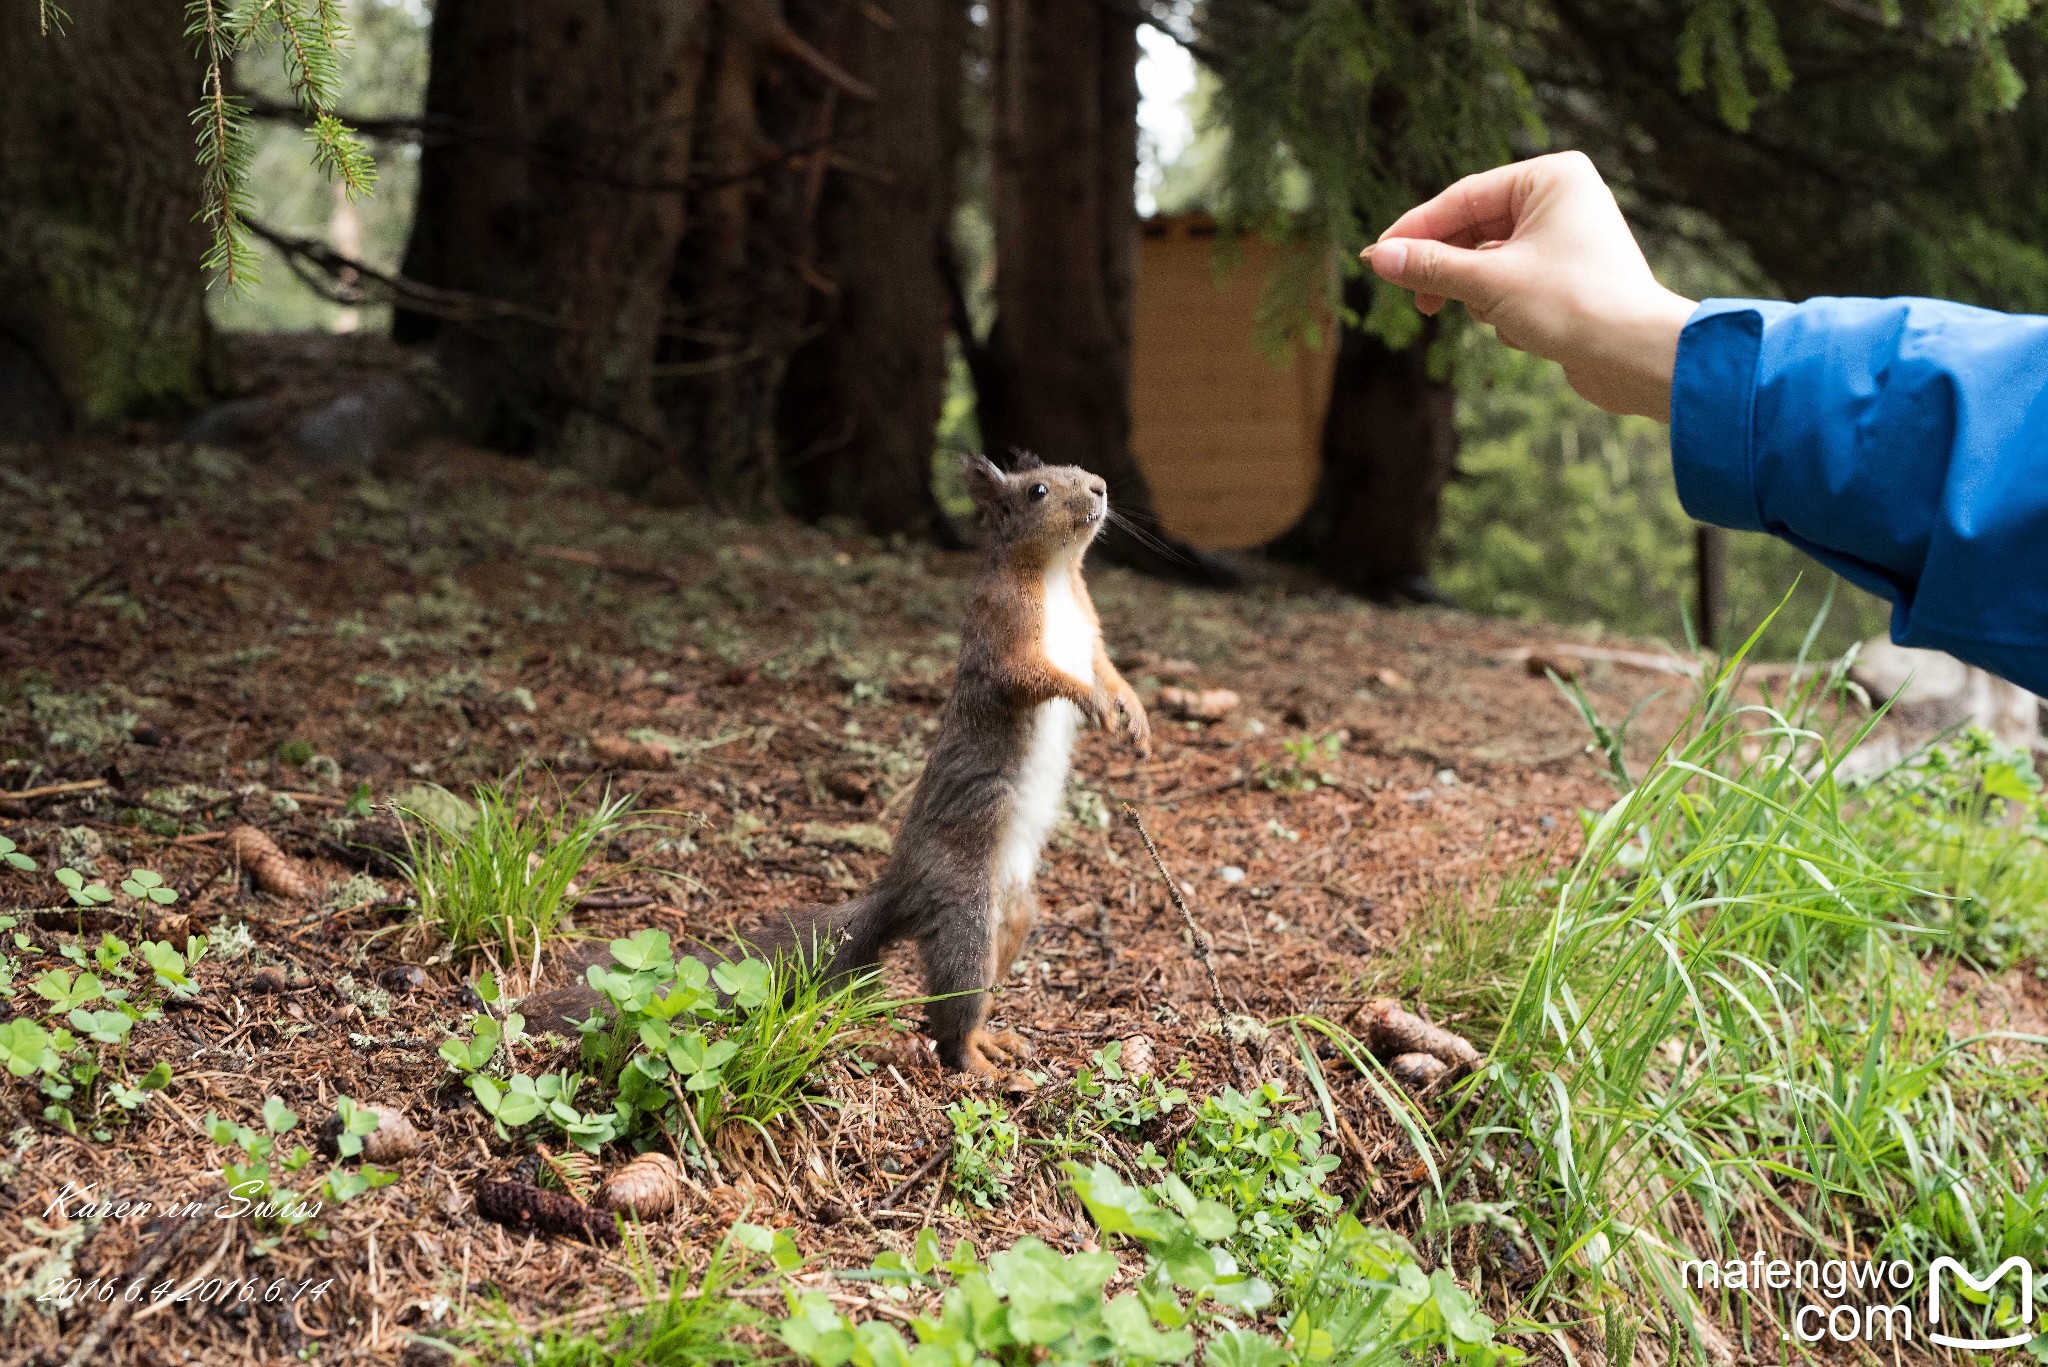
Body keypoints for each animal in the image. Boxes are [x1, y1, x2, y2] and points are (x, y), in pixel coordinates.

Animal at [524, 457, 1155, 1082]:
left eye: (1078, 470)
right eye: (1038, 490)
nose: (1100, 488)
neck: (1056, 575)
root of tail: (901, 889)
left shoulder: (1091, 632)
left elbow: (1107, 667)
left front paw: (1134, 712)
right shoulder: (1003, 631)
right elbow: (1031, 675)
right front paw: (1091, 700)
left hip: (1015, 913)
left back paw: (994, 1037)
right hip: (966, 916)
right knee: (950, 1015)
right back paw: (977, 1060)